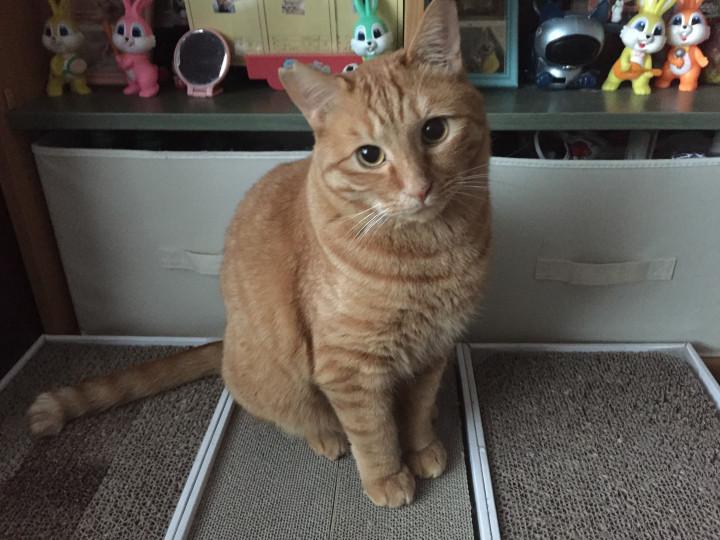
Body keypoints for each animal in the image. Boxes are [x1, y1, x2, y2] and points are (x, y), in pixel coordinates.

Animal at [27, 0, 491, 508]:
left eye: (435, 130)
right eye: (370, 156)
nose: (419, 188)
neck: (429, 252)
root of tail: (226, 339)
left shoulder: (432, 350)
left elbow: (417, 410)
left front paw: (422, 447)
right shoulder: (351, 369)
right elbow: (375, 431)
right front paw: (388, 477)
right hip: (280, 383)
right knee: (301, 417)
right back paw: (327, 436)